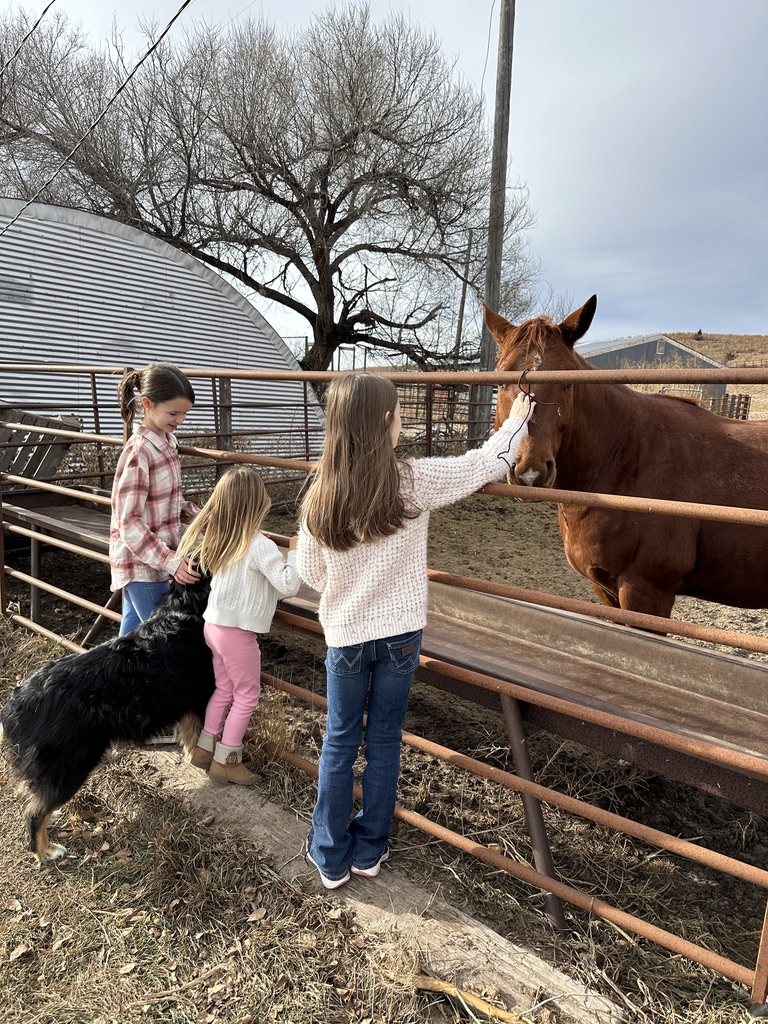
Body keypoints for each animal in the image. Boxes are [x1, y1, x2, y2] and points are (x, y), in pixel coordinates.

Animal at [488, 295, 768, 617]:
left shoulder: (645, 592)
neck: (625, 458)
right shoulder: (605, 587)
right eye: (501, 381)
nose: (530, 470)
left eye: (568, 383)